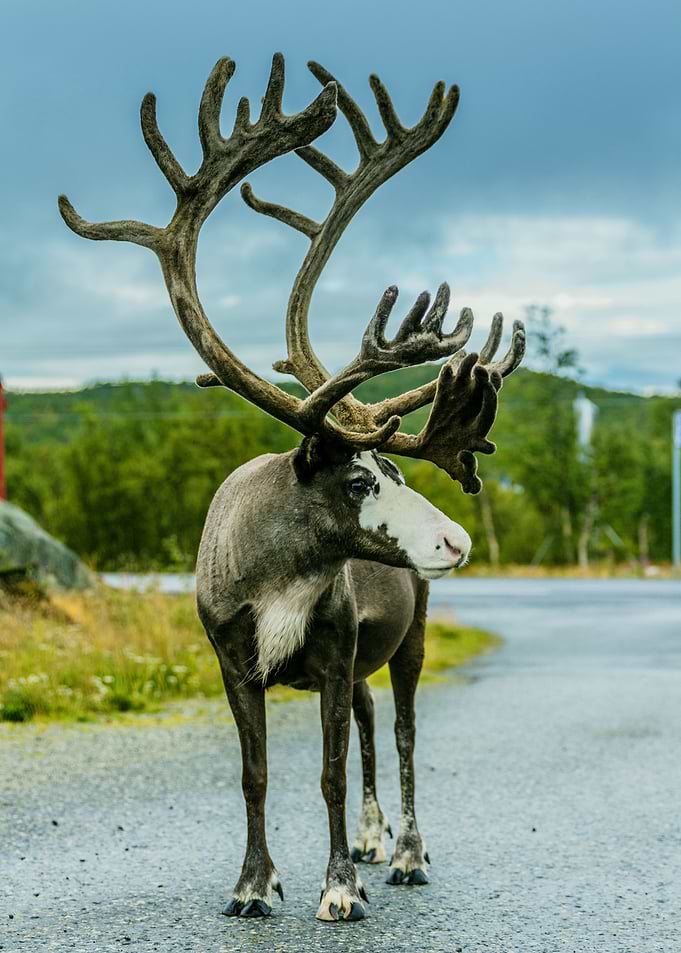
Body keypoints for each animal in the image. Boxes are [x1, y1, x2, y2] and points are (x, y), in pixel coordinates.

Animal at [59, 53, 525, 923]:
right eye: (358, 478)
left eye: (399, 471)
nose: (455, 538)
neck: (279, 575)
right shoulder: (231, 658)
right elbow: (256, 774)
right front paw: (253, 883)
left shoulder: (335, 651)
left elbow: (330, 773)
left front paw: (338, 886)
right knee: (375, 721)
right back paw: (376, 840)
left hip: (411, 633)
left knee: (402, 730)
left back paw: (404, 852)